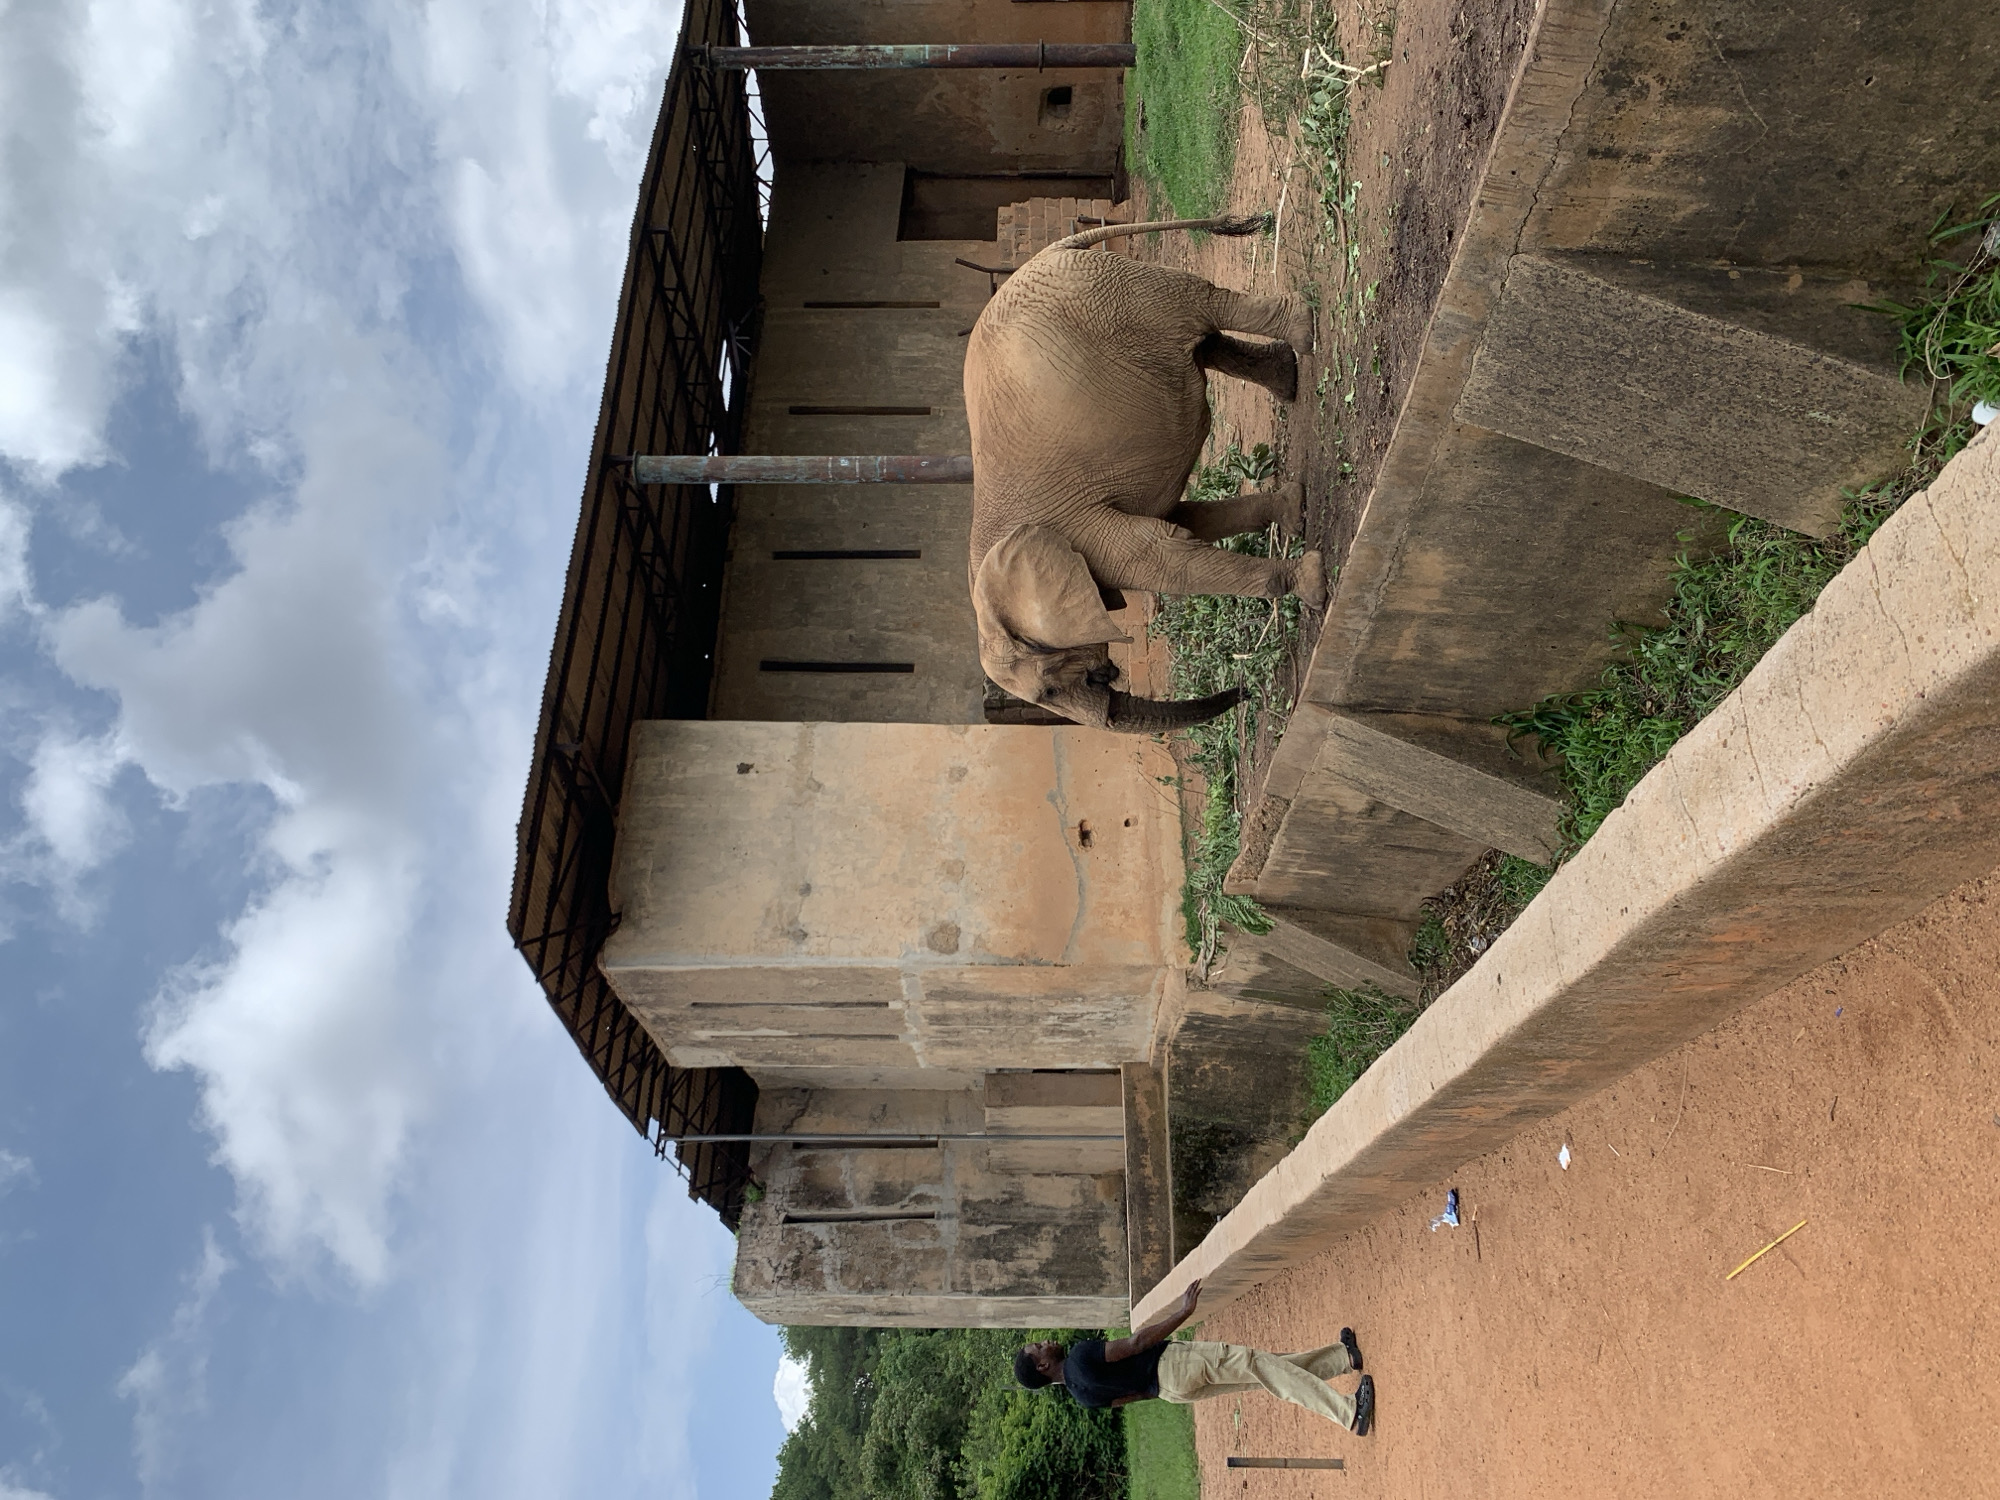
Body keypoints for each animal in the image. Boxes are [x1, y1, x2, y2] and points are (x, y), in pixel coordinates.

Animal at [964, 212, 1327, 734]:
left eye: (1047, 691)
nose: (1244, 691)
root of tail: (1053, 250)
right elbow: (1188, 520)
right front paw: (1294, 510)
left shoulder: (1077, 525)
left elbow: (1164, 557)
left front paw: (1313, 584)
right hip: (1123, 304)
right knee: (1204, 345)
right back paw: (1287, 376)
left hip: (1122, 297)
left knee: (1204, 307)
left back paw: (1303, 332)